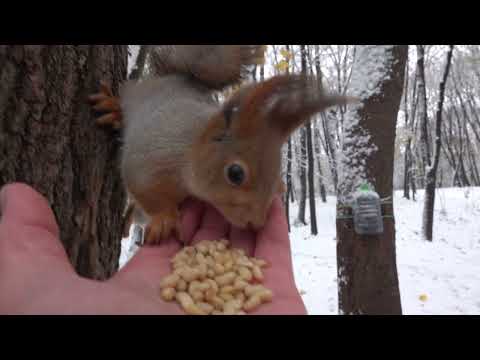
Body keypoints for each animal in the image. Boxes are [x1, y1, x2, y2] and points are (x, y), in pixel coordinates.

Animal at [90, 45, 352, 245]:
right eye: (235, 173)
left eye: (277, 179)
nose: (256, 224)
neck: (190, 148)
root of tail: (178, 78)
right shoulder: (148, 157)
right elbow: (144, 190)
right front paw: (164, 219)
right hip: (135, 96)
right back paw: (112, 107)